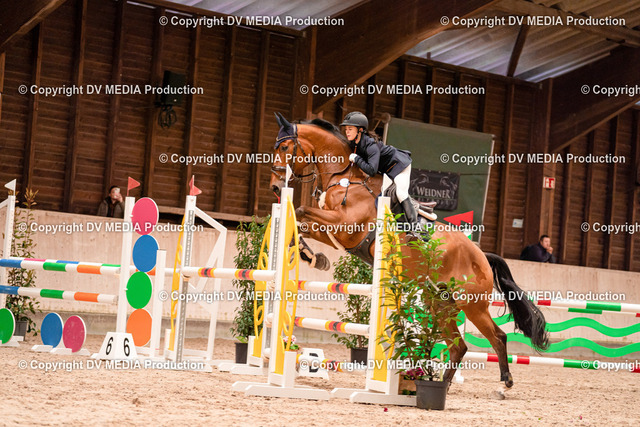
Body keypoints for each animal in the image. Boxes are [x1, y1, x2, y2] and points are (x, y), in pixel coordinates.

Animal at [269, 113, 549, 395]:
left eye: (284, 147)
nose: (275, 187)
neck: (345, 176)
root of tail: (481, 256)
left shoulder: (344, 226)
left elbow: (302, 210)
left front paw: (310, 254)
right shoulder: (334, 231)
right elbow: (302, 220)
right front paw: (311, 256)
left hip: (472, 305)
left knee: (496, 336)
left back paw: (505, 383)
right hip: (439, 302)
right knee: (458, 346)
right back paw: (441, 386)